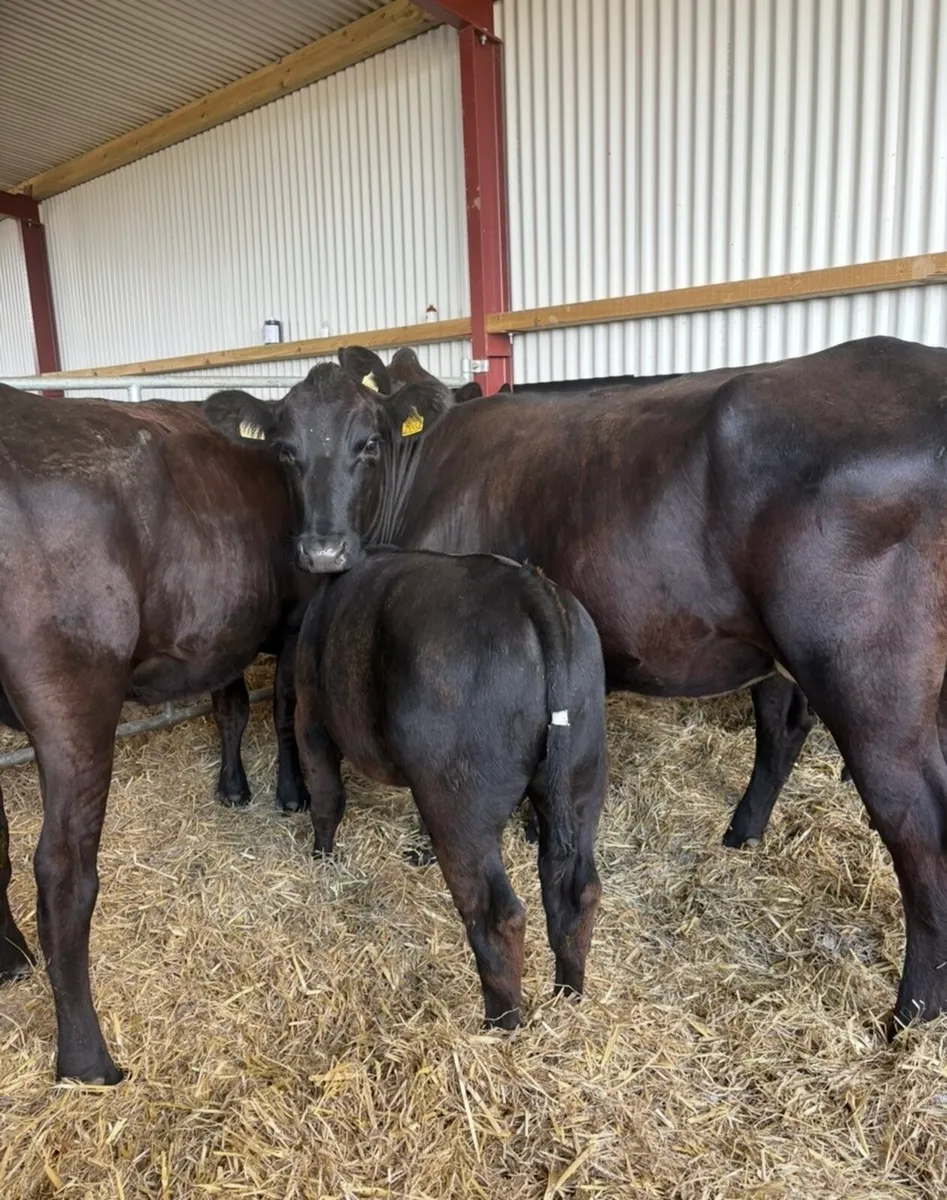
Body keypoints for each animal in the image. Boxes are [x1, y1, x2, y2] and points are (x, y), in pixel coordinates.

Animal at [0, 383, 320, 1085]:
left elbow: (232, 706)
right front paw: (291, 793)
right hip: (75, 691)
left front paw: (234, 788)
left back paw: (10, 957)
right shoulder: (295, 615)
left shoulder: (227, 633)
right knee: (64, 870)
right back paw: (87, 1059)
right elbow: (284, 710)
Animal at [293, 548, 606, 1028]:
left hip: (461, 804)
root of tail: (528, 587)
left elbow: (326, 796)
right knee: (576, 889)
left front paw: (322, 859)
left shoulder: (310, 712)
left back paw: (501, 1024)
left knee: (498, 915)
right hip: (580, 779)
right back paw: (568, 994)